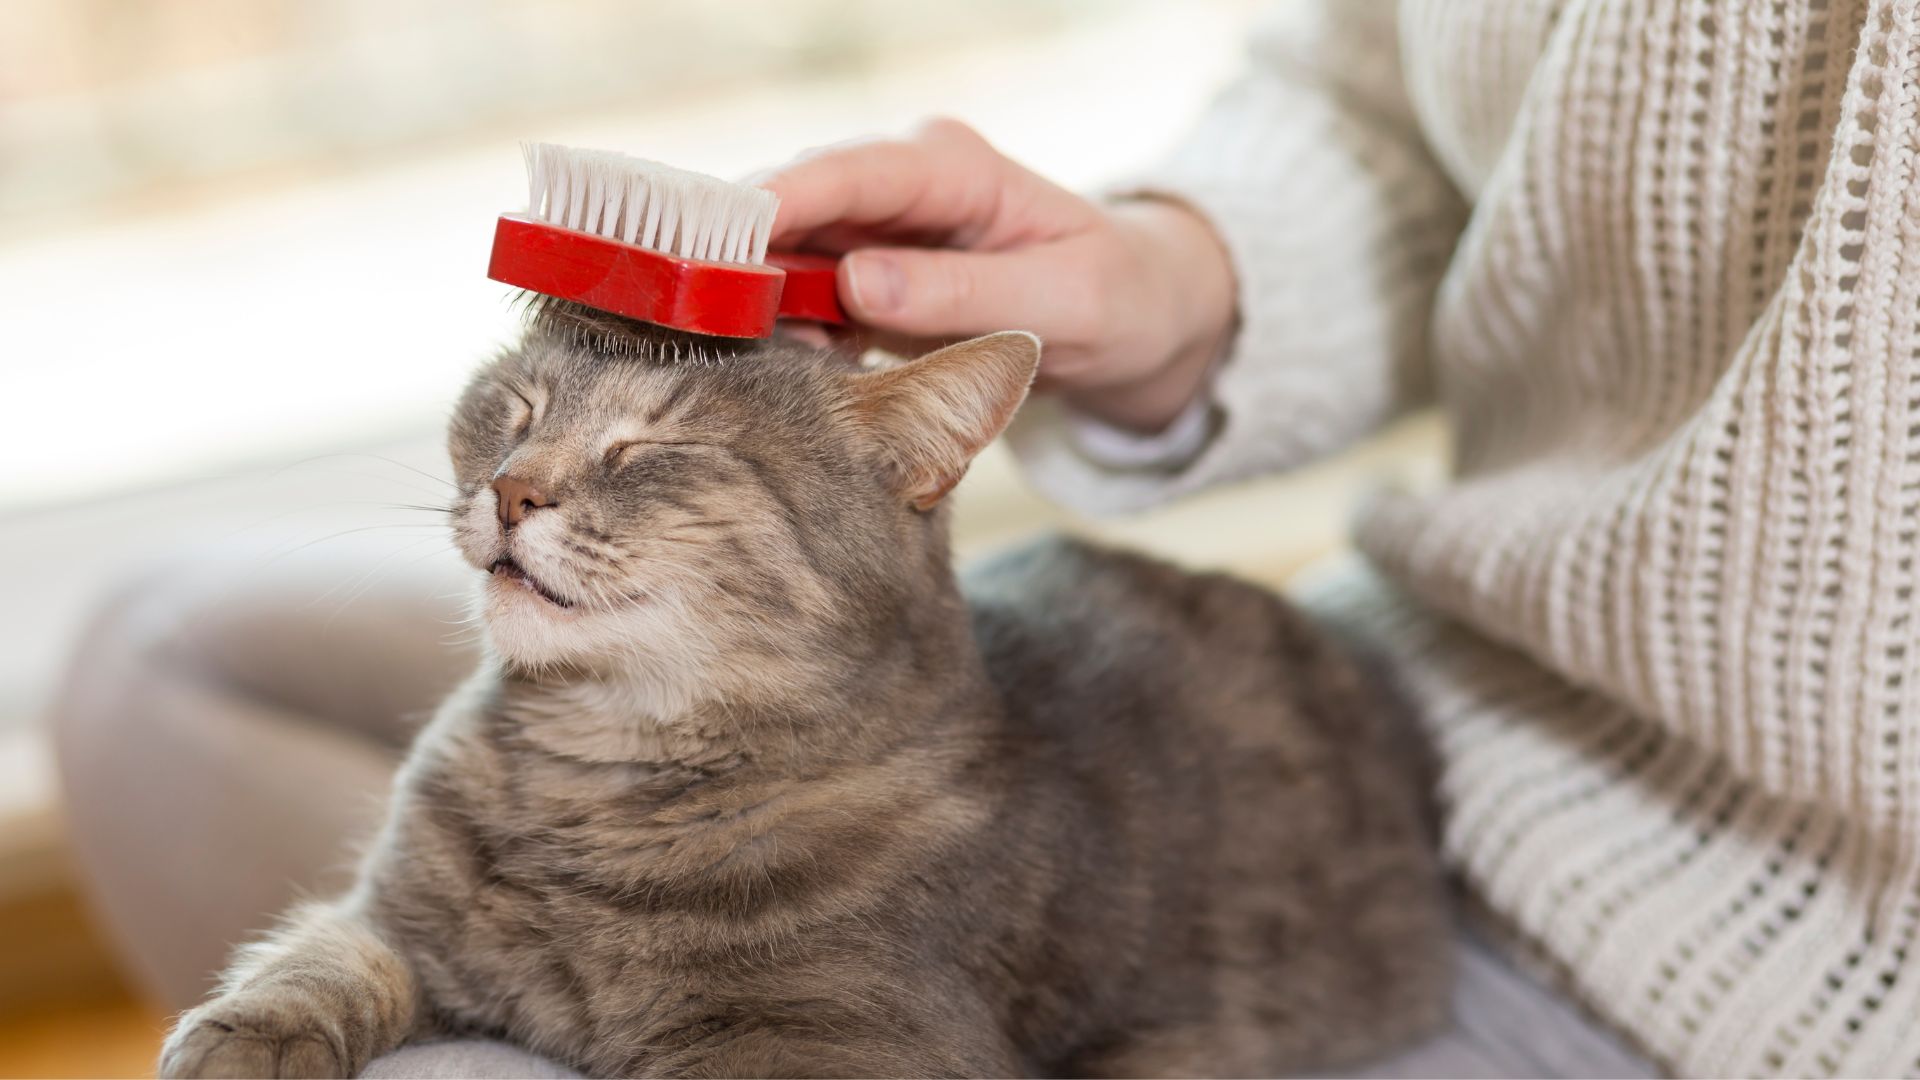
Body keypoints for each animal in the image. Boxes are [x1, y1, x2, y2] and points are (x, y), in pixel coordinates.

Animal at [157, 305, 1443, 1076]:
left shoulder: (848, 1049)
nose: (514, 490)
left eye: (649, 447)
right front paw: (237, 1039)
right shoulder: (393, 919)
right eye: (515, 410)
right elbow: (309, 963)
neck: (600, 779)